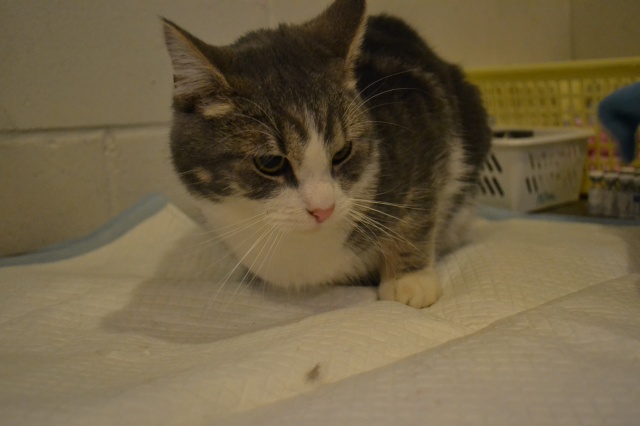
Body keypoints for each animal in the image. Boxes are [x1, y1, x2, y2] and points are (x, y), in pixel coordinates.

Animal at [162, 0, 491, 308]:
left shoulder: (420, 122)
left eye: (343, 152)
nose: (324, 210)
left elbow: (418, 205)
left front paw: (409, 281)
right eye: (270, 162)